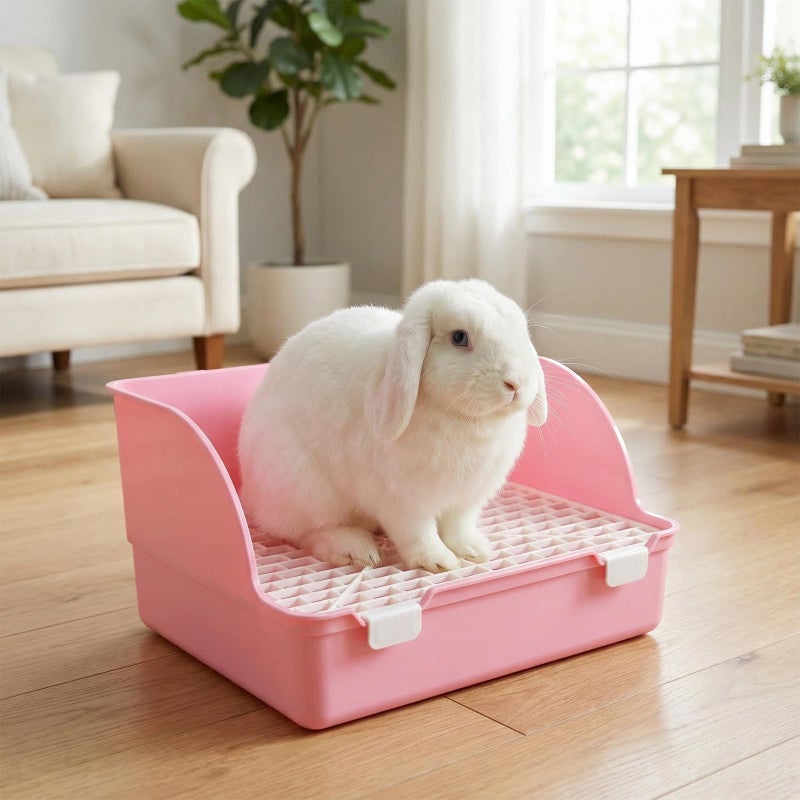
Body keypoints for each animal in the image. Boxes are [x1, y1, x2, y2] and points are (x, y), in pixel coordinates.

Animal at [237, 279, 547, 573]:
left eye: (520, 330)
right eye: (459, 337)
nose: (516, 383)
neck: (467, 420)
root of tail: (250, 496)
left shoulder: (467, 500)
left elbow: (456, 527)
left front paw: (474, 550)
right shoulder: (403, 501)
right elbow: (418, 534)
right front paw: (437, 562)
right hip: (303, 488)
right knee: (308, 531)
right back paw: (355, 550)